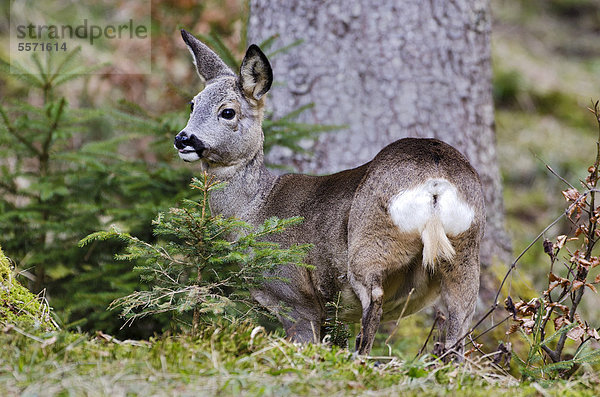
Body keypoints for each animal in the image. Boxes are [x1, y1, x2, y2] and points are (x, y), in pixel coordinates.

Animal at [175, 29, 488, 354]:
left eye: (227, 112)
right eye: (192, 104)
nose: (183, 139)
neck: (256, 209)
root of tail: (435, 180)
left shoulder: (295, 295)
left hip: (371, 239)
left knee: (375, 298)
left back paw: (360, 357)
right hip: (465, 246)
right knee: (460, 317)